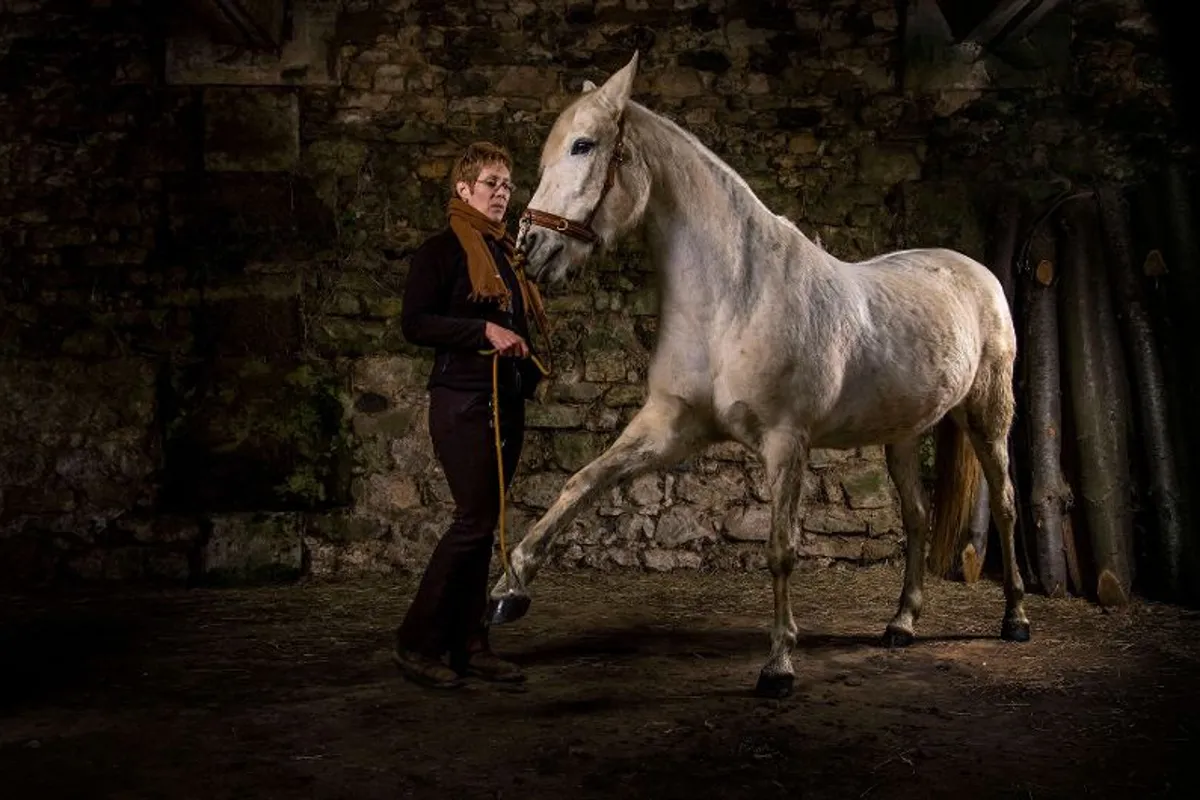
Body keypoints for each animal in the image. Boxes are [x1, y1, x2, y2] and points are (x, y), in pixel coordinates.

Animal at [488, 52, 1029, 699]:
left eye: (583, 145)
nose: (531, 248)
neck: (735, 297)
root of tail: (974, 270)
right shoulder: (670, 427)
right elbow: (582, 481)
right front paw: (509, 586)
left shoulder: (785, 441)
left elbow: (780, 549)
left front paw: (779, 664)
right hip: (901, 434)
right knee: (918, 516)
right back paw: (901, 622)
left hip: (988, 416)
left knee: (1006, 504)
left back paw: (1016, 618)